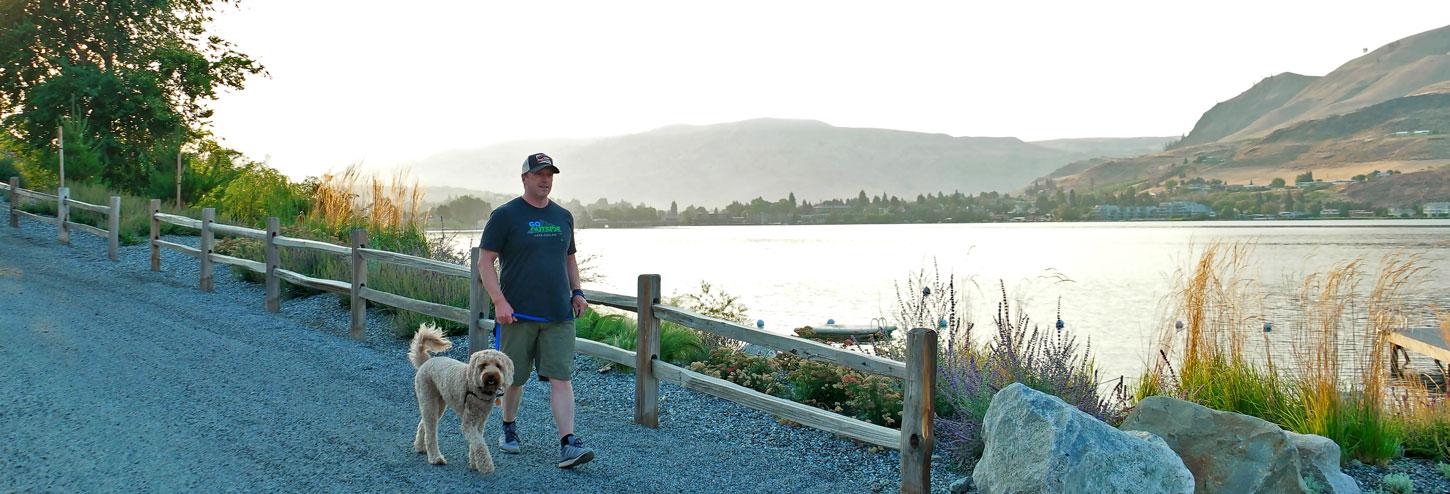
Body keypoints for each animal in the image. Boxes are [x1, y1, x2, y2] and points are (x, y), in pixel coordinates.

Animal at [408, 323, 516, 472]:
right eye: (483, 365)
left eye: (498, 366)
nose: (491, 375)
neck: (478, 388)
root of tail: (426, 362)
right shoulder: (468, 423)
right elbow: (479, 443)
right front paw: (485, 465)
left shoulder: (479, 421)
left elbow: (475, 443)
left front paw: (474, 463)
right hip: (428, 400)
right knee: (430, 432)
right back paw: (435, 458)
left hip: (438, 404)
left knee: (423, 424)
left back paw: (419, 447)